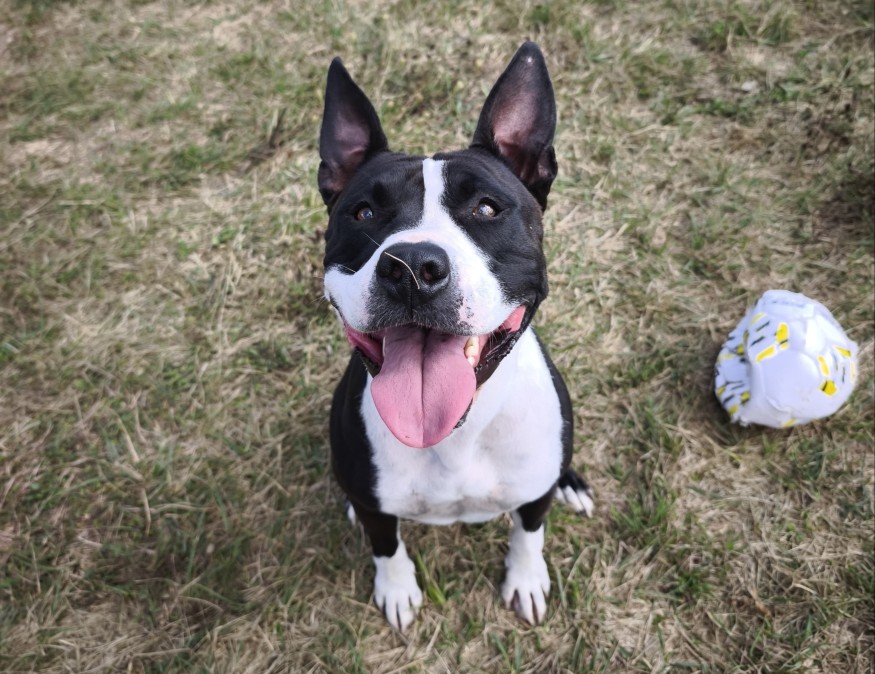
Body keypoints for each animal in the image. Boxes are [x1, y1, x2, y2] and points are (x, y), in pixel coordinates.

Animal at [317, 42, 594, 630]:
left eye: (486, 208)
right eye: (363, 212)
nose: (412, 268)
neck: (455, 434)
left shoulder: (531, 495)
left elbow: (529, 531)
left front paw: (525, 579)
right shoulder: (378, 508)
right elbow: (386, 543)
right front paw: (397, 589)